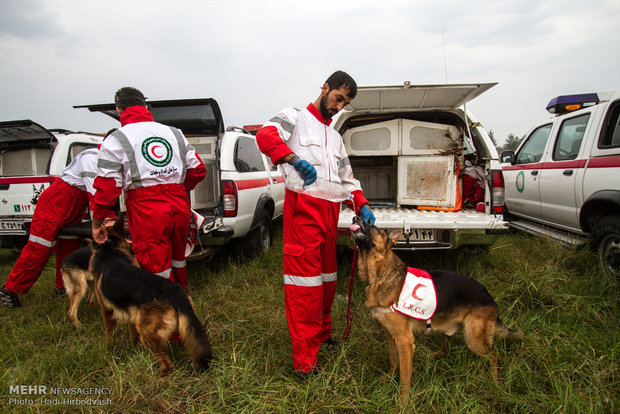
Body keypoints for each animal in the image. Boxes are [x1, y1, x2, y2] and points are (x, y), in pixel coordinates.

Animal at [88, 217, 212, 376]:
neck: (109, 250)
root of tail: (176, 293)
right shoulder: (130, 313)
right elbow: (131, 332)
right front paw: (132, 345)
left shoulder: (106, 310)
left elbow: (109, 333)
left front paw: (109, 349)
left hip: (147, 332)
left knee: (167, 363)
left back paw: (161, 375)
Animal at [348, 217, 524, 404]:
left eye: (372, 226)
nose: (355, 217)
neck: (383, 275)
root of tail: (489, 296)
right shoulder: (390, 335)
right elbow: (393, 359)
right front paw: (386, 380)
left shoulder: (404, 340)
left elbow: (405, 375)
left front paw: (403, 403)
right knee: (446, 350)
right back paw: (432, 356)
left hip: (473, 338)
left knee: (494, 355)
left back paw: (494, 382)